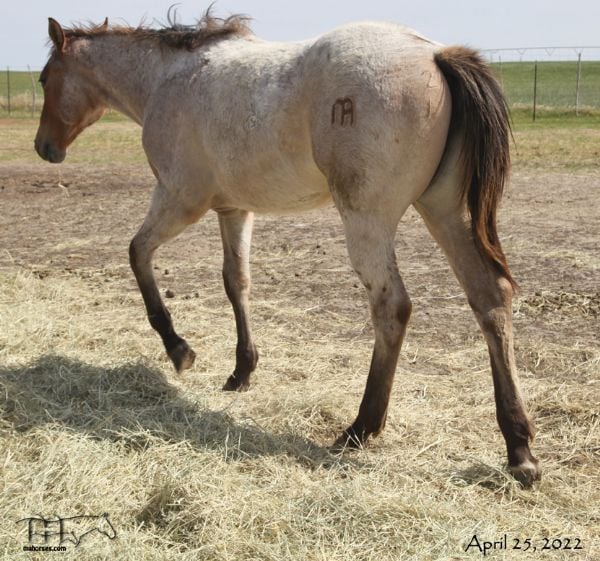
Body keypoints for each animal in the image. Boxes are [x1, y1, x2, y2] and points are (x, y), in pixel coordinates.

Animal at [32, 12, 540, 486]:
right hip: (444, 212)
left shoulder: (179, 200)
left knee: (392, 307)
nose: (43, 147)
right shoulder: (234, 210)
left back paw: (361, 427)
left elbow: (137, 254)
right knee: (490, 298)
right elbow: (236, 282)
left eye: (43, 78)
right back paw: (519, 448)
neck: (167, 77)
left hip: (368, 220)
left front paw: (179, 349)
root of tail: (436, 54)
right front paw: (242, 371)